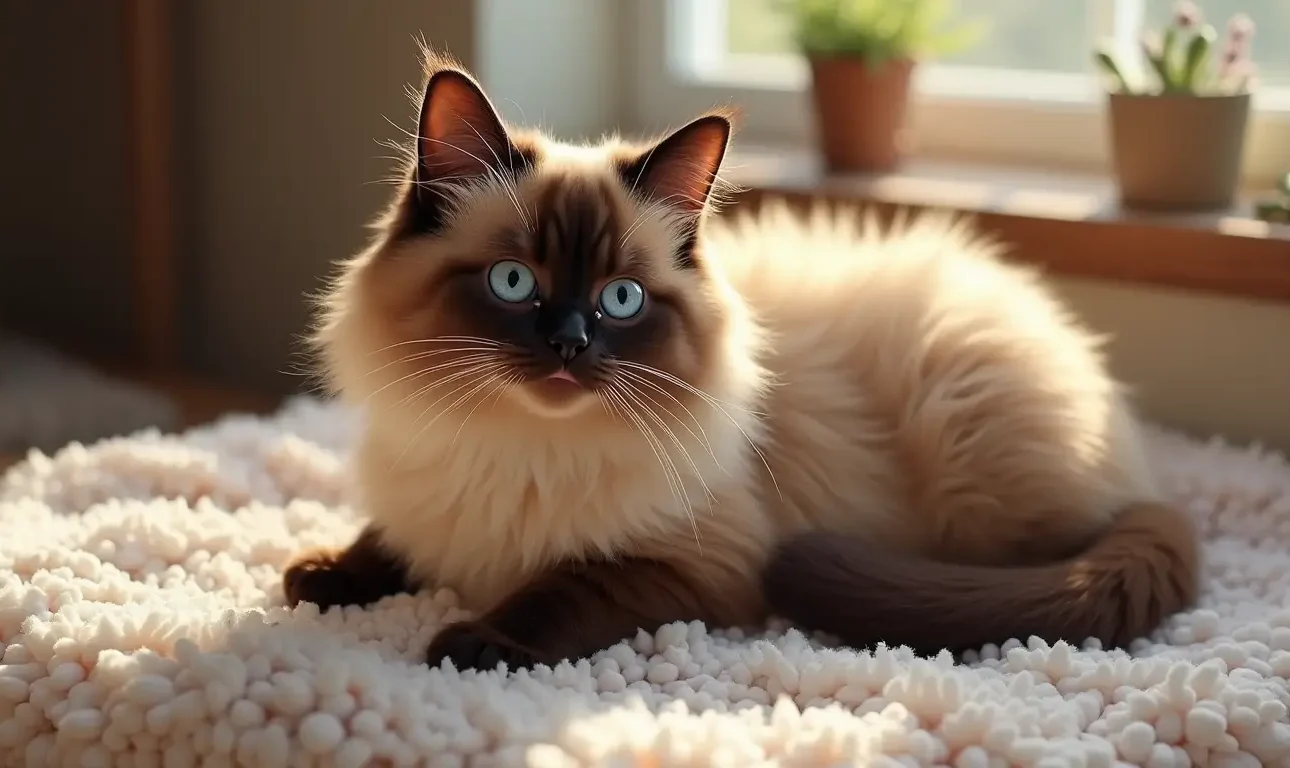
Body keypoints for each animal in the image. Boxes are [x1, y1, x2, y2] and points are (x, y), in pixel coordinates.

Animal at [282, 49, 1197, 671]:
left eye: (622, 299)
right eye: (513, 283)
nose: (570, 344)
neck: (514, 447)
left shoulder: (692, 567)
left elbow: (560, 591)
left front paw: (473, 639)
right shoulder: (429, 487)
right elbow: (385, 542)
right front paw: (317, 575)